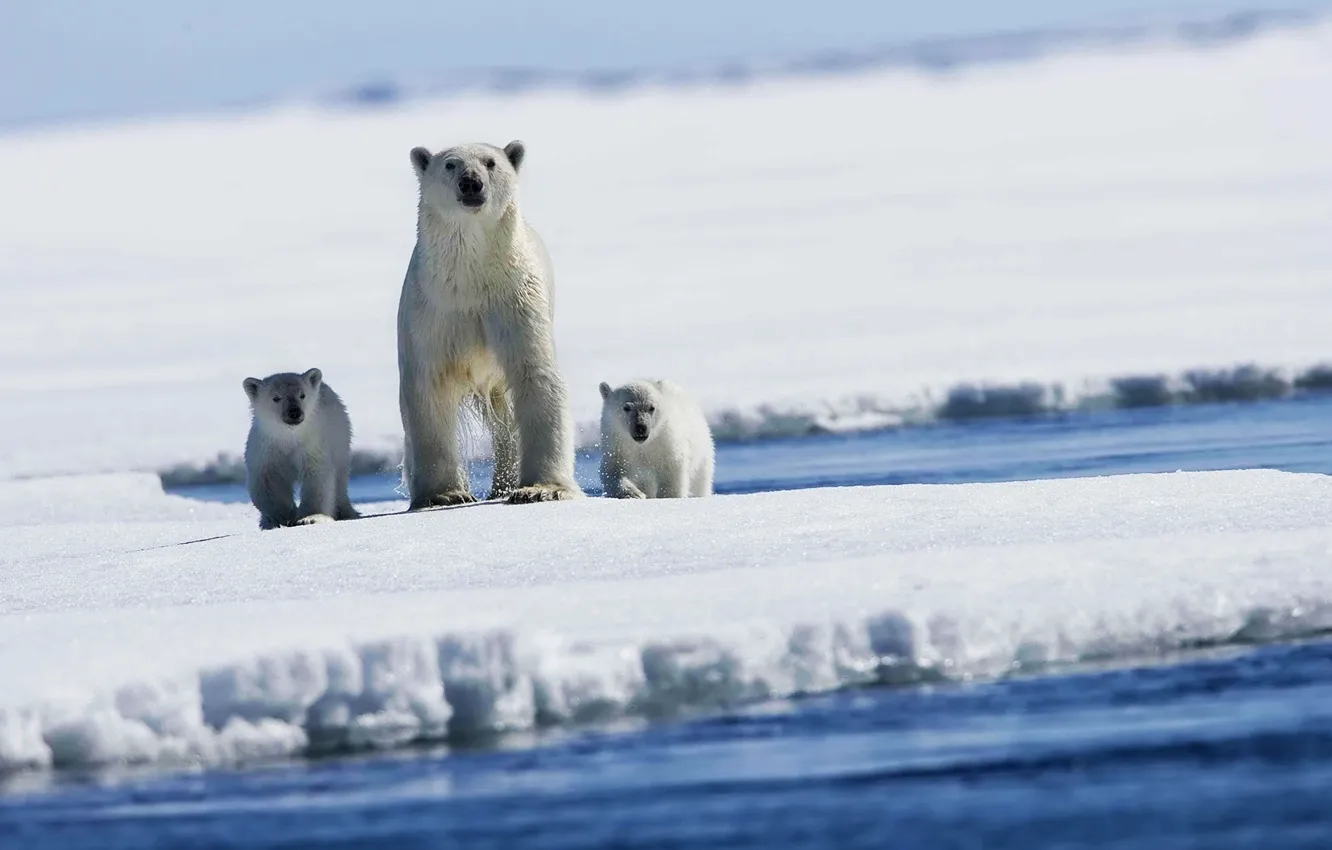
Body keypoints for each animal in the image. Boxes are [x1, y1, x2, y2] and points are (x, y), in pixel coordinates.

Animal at [242, 367, 359, 530]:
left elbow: (316, 477)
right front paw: (281, 516)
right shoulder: (266, 449)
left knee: (340, 479)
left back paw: (346, 512)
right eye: (276, 398)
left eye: (302, 395)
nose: (294, 412)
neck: (289, 437)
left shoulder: (312, 445)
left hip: (340, 439)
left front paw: (310, 518)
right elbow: (268, 480)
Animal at [396, 141, 580, 511]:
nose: (471, 183)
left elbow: (536, 374)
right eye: (450, 164)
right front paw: (444, 494)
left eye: (491, 162)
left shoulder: (515, 300)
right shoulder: (432, 312)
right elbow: (427, 386)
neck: (471, 280)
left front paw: (541, 489)